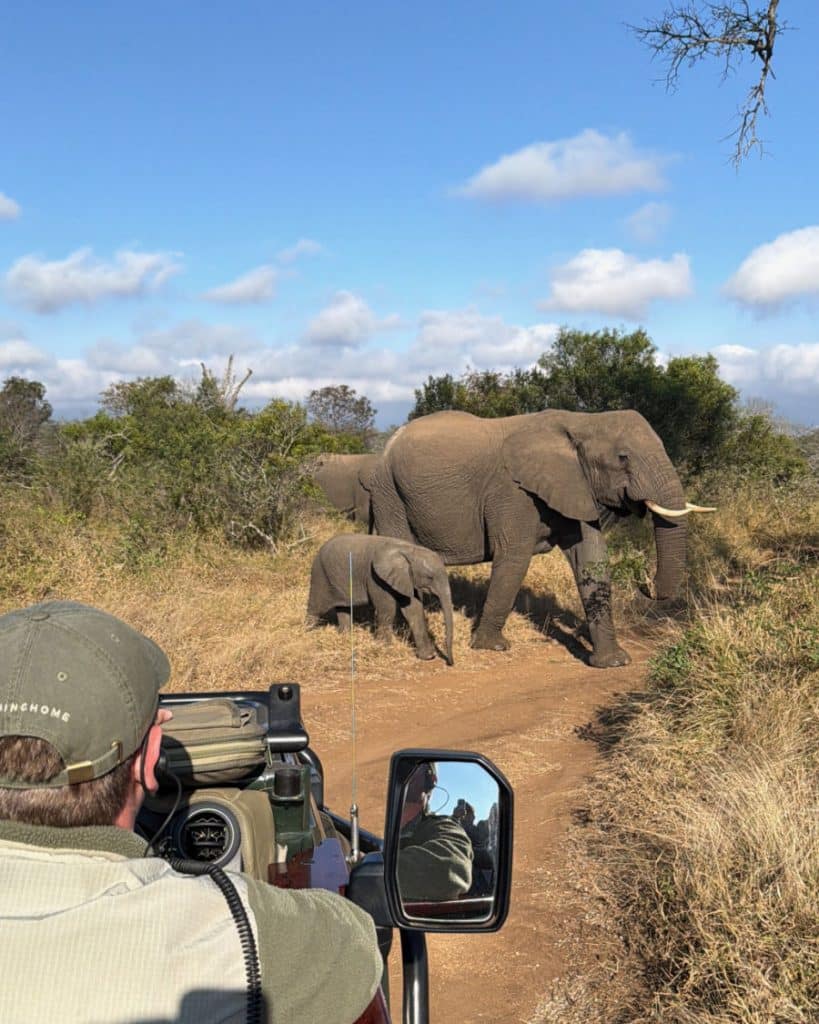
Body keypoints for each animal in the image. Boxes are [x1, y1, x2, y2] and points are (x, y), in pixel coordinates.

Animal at [306, 534, 454, 664]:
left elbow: (414, 610)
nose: (450, 663)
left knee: (343, 608)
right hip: (320, 575)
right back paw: (307, 633)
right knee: (316, 608)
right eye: (430, 577)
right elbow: (387, 609)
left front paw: (428, 657)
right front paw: (385, 648)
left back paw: (345, 636)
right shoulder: (375, 578)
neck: (409, 550)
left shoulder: (406, 578)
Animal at [363, 409, 713, 668]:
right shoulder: (512, 491)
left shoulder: (576, 485)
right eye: (623, 457)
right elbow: (514, 556)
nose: (644, 582)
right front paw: (492, 647)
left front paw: (613, 662)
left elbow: (592, 559)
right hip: (388, 492)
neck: (581, 422)